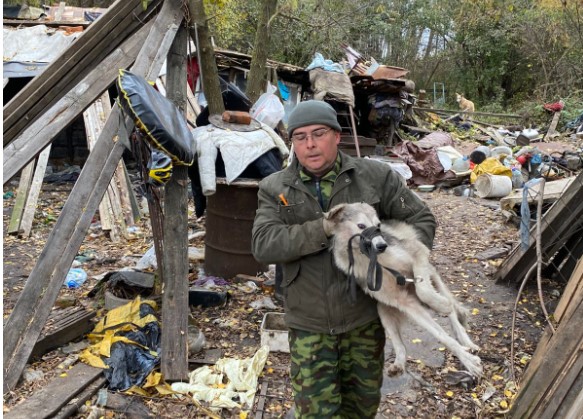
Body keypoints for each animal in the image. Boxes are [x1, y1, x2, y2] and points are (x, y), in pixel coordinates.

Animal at [324, 203, 484, 378]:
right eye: (361, 225)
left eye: (378, 225)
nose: (382, 246)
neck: (373, 261)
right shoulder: (404, 302)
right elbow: (441, 335)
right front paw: (467, 360)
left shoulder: (418, 253)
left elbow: (425, 292)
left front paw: (468, 360)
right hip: (383, 311)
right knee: (400, 345)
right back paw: (399, 363)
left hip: (433, 278)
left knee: (453, 312)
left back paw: (465, 339)